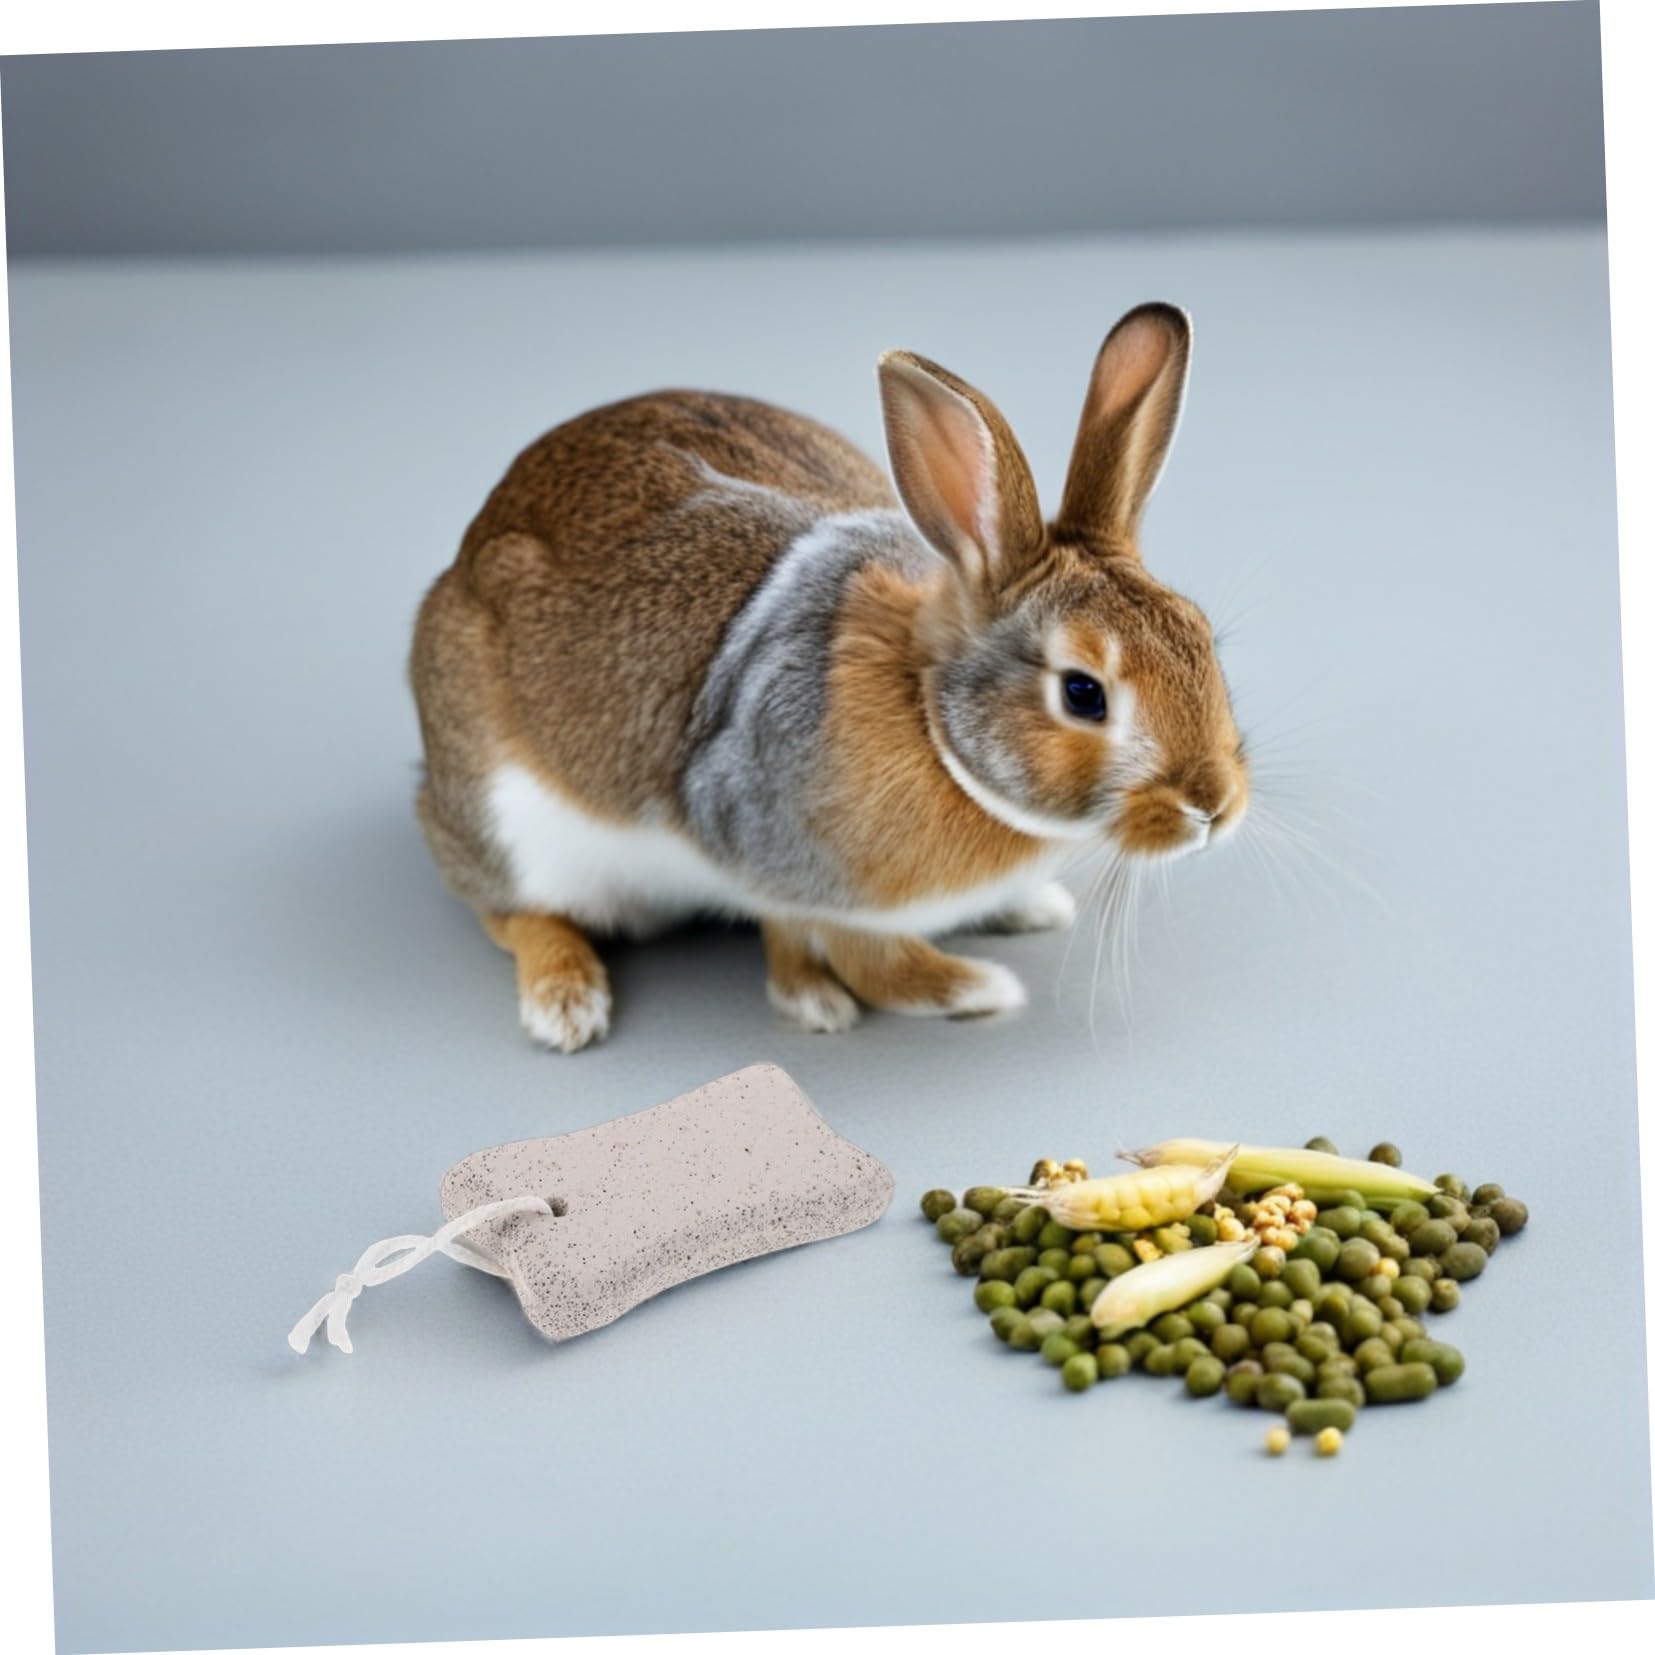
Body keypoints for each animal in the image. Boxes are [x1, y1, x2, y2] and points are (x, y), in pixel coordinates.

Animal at [409, 302, 1247, 1051]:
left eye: (1199, 635)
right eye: (1082, 693)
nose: (1214, 806)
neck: (930, 718)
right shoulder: (779, 859)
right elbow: (860, 955)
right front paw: (961, 990)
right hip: (509, 823)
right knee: (511, 912)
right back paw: (565, 1005)